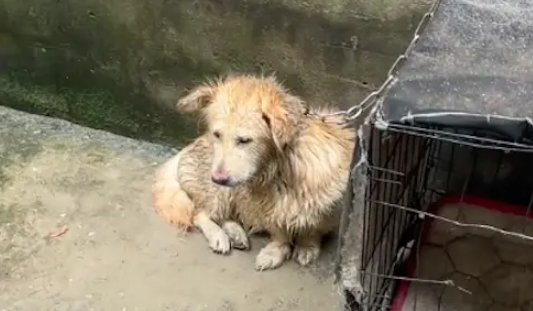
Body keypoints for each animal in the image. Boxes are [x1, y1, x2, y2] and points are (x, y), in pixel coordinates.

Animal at [152, 74, 356, 272]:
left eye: (244, 140)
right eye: (217, 135)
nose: (217, 179)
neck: (280, 168)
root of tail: (186, 150)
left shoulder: (327, 206)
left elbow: (312, 228)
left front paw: (307, 246)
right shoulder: (266, 206)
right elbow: (279, 233)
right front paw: (275, 252)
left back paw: (235, 233)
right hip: (221, 192)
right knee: (200, 214)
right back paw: (220, 236)